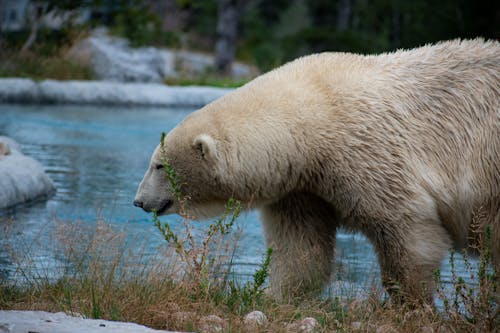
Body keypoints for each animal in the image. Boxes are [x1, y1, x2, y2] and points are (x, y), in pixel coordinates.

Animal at [134, 39, 500, 300]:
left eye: (159, 165)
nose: (138, 201)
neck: (316, 114)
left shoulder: (370, 153)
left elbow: (407, 230)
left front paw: (410, 303)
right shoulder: (302, 184)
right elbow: (301, 247)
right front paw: (280, 298)